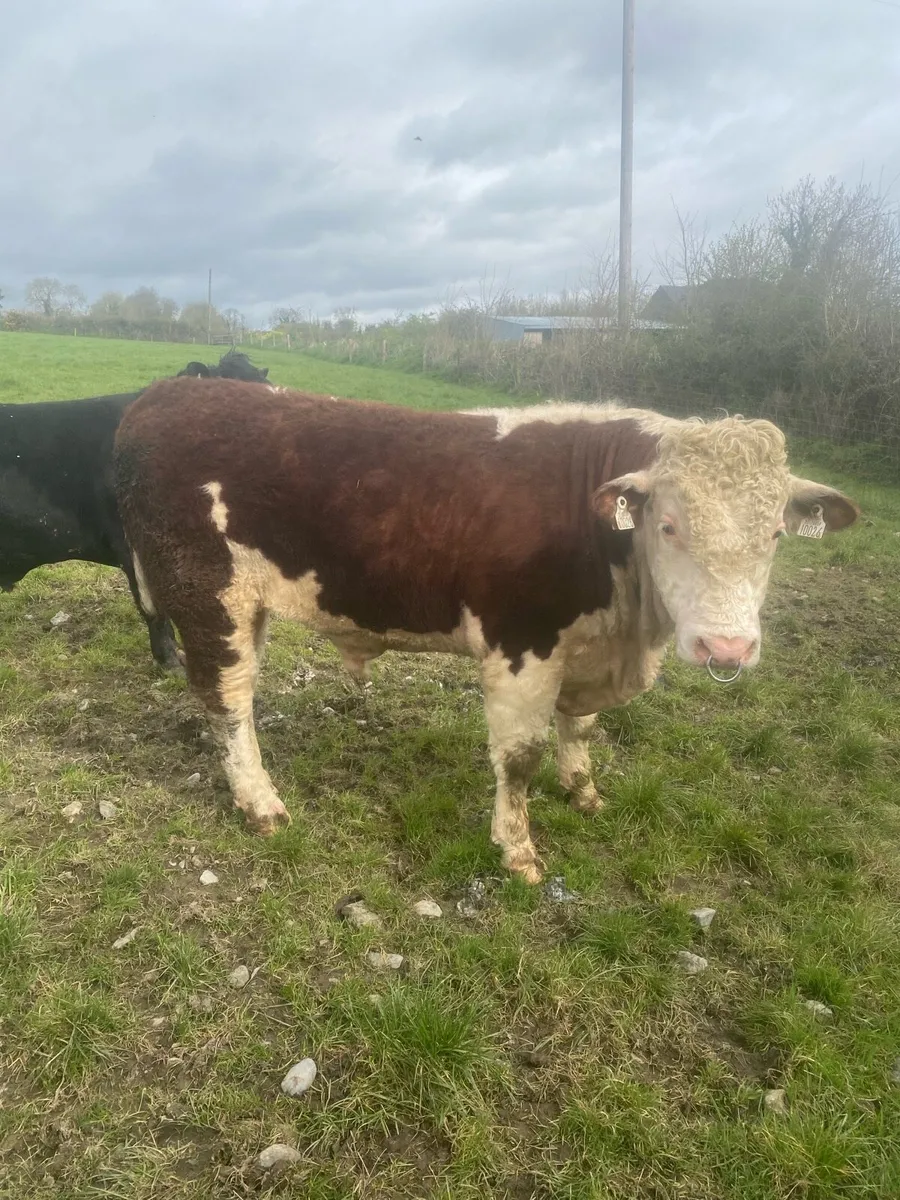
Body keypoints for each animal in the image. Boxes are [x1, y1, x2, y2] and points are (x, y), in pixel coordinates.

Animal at [113, 380, 859, 882]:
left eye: (775, 534)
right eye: (669, 525)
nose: (726, 647)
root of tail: (167, 392)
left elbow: (580, 729)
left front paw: (583, 792)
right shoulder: (522, 644)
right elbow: (520, 757)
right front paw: (518, 850)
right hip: (212, 600)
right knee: (229, 702)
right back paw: (260, 802)